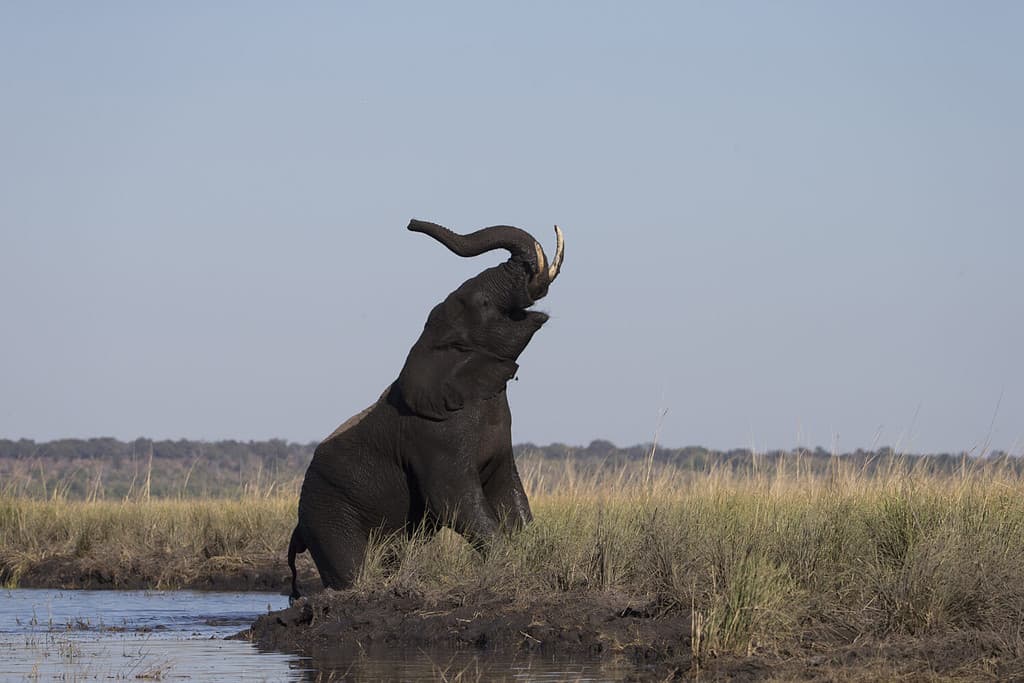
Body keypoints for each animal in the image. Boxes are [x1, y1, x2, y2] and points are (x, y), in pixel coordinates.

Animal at [288, 219, 565, 598]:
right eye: (483, 302)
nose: (411, 223)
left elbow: (508, 494)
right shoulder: (434, 437)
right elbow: (453, 500)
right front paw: (508, 567)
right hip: (328, 515)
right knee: (351, 567)